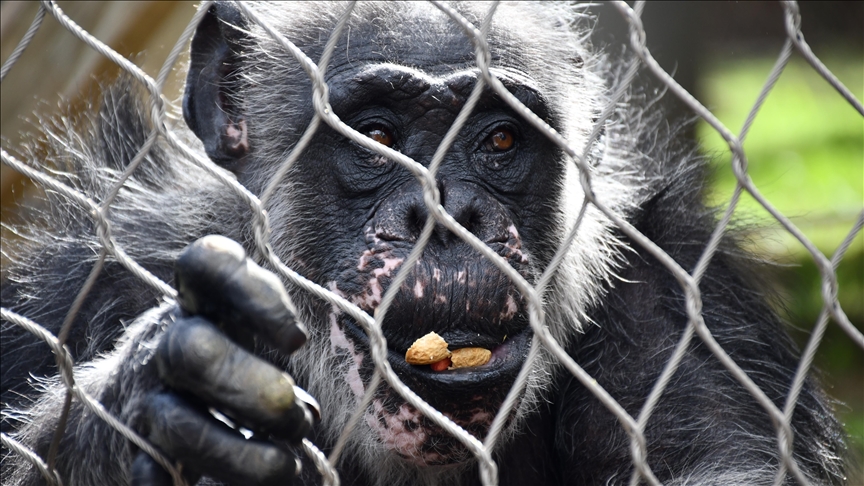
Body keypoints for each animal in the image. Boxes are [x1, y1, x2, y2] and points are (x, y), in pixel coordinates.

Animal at [0, 0, 848, 486]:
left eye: (500, 139)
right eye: (375, 135)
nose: (446, 212)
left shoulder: (673, 305)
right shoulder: (81, 286)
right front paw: (154, 400)